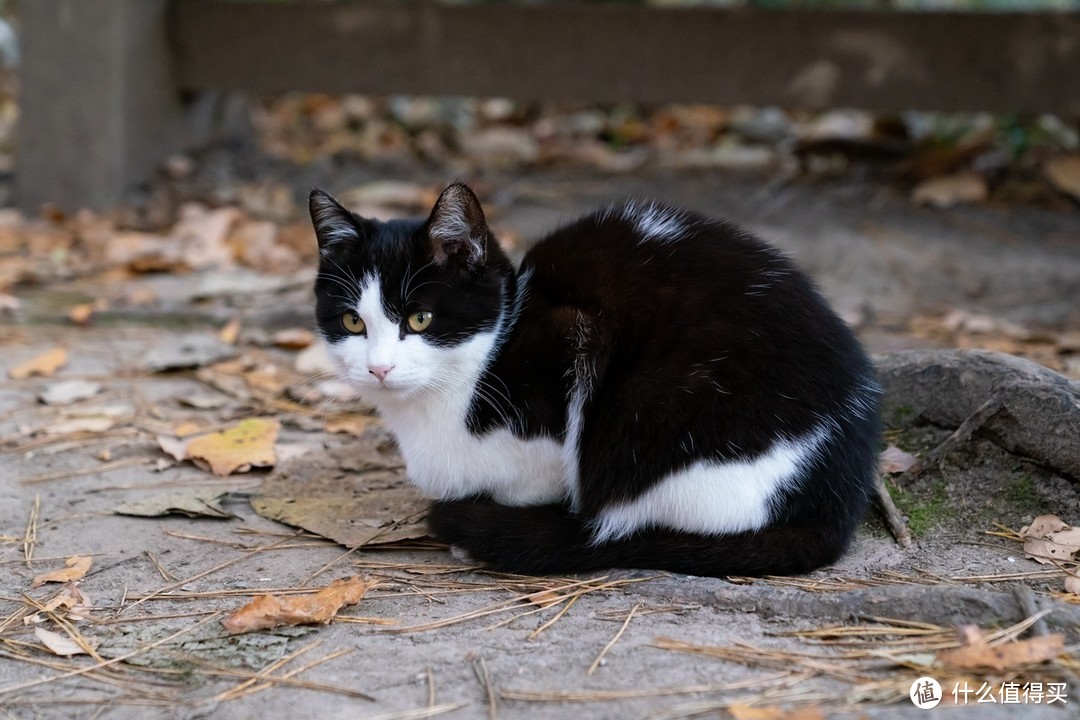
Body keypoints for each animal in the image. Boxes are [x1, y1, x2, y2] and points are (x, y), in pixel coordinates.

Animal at [308, 183, 881, 578]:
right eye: (353, 322)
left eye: (420, 319)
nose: (379, 368)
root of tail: (840, 492)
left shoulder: (573, 335)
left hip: (656, 422)